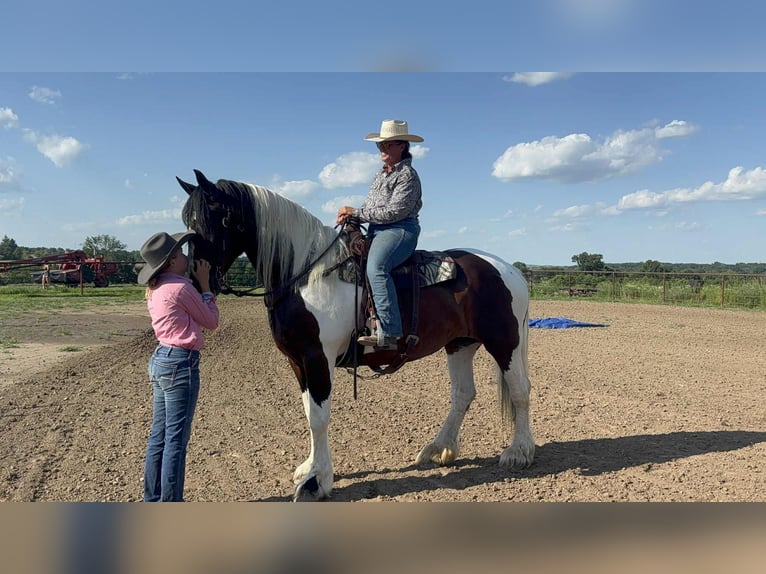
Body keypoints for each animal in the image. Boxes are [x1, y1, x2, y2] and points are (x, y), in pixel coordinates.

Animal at [177, 169, 535, 501]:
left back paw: (519, 451)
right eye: (186, 220)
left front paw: (316, 482)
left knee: (520, 390)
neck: (308, 276)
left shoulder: (317, 357)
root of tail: (507, 269)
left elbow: (319, 417)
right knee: (462, 394)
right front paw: (309, 469)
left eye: (216, 217)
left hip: (505, 342)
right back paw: (438, 448)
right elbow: (309, 411)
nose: (193, 280)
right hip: (460, 345)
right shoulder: (297, 362)